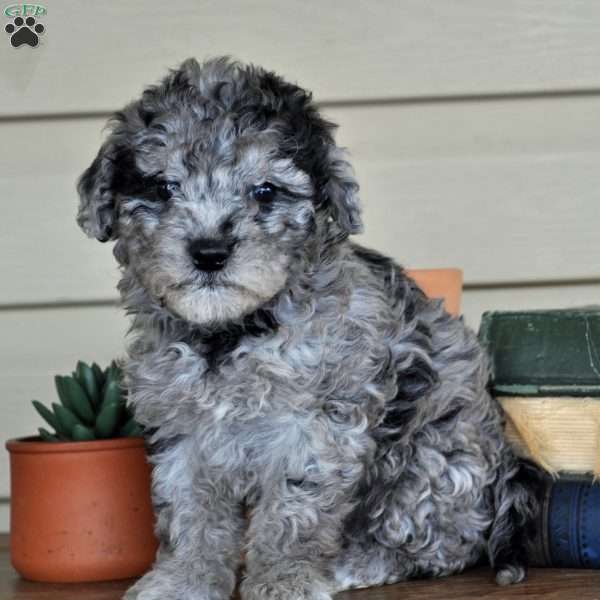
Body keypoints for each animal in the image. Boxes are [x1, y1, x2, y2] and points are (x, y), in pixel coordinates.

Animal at [76, 57, 540, 600]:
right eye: (164, 188)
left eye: (265, 192)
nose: (209, 252)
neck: (232, 335)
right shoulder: (182, 429)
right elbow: (189, 511)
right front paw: (183, 579)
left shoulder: (316, 427)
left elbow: (293, 512)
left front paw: (285, 579)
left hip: (431, 462)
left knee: (442, 543)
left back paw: (357, 562)